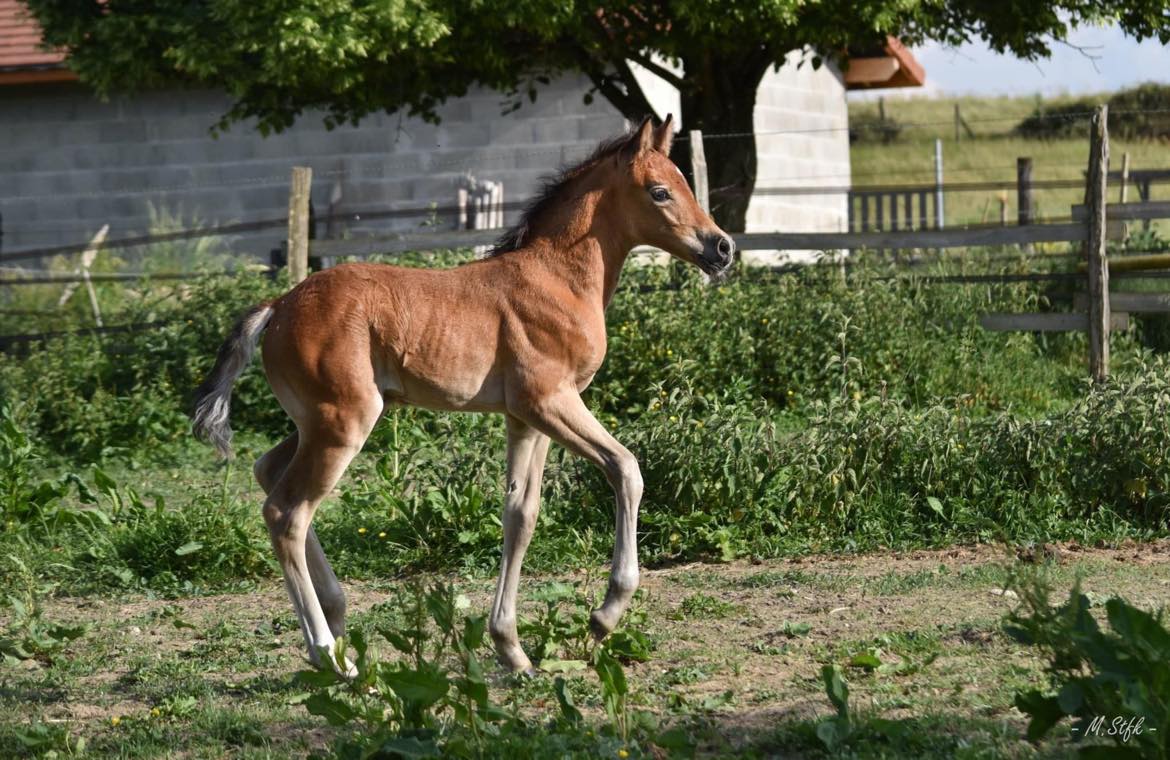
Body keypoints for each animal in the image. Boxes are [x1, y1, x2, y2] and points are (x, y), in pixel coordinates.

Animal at [192, 115, 735, 675]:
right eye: (659, 191)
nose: (722, 248)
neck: (558, 279)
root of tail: (278, 305)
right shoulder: (550, 401)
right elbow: (625, 468)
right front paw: (604, 616)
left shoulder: (526, 417)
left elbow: (521, 513)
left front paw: (512, 649)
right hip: (342, 424)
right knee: (287, 514)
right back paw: (331, 656)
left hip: (319, 422)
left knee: (267, 470)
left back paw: (339, 620)